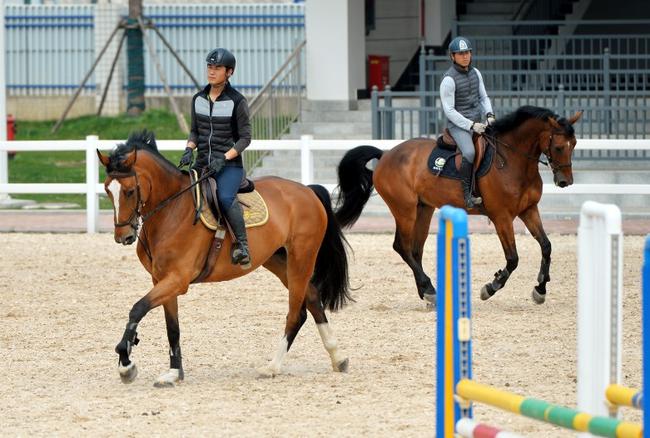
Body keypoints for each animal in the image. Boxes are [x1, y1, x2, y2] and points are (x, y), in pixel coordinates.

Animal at [97, 131, 352, 386]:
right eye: (108, 190)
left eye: (130, 191)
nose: (123, 236)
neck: (171, 211)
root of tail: (307, 190)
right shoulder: (161, 280)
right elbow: (172, 328)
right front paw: (174, 372)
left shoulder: (177, 280)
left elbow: (137, 309)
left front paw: (126, 363)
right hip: (278, 261)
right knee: (312, 299)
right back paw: (338, 358)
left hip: (302, 257)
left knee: (295, 313)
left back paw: (272, 367)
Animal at [334, 106, 583, 306]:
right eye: (559, 147)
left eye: (574, 145)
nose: (565, 182)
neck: (513, 160)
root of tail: (385, 154)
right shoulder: (502, 217)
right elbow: (513, 258)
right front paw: (490, 287)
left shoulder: (529, 210)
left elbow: (546, 246)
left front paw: (540, 289)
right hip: (404, 211)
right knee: (402, 247)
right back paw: (429, 289)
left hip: (423, 209)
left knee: (415, 250)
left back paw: (427, 293)